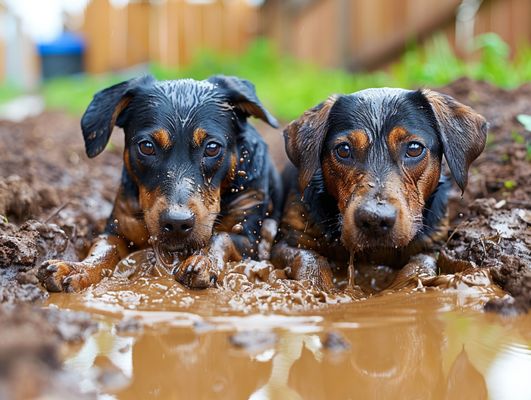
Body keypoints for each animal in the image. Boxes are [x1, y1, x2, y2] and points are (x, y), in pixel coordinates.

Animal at [38, 74, 282, 290]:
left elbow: (221, 237)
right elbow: (103, 249)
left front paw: (203, 262)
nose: (177, 223)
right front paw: (77, 268)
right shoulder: (117, 229)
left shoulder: (248, 237)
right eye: (146, 146)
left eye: (212, 148)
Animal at [272, 87, 488, 290]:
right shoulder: (288, 240)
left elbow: (419, 265)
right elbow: (310, 259)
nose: (375, 219)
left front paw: (403, 289)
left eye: (414, 148)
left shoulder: (433, 244)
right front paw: (318, 287)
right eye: (343, 150)